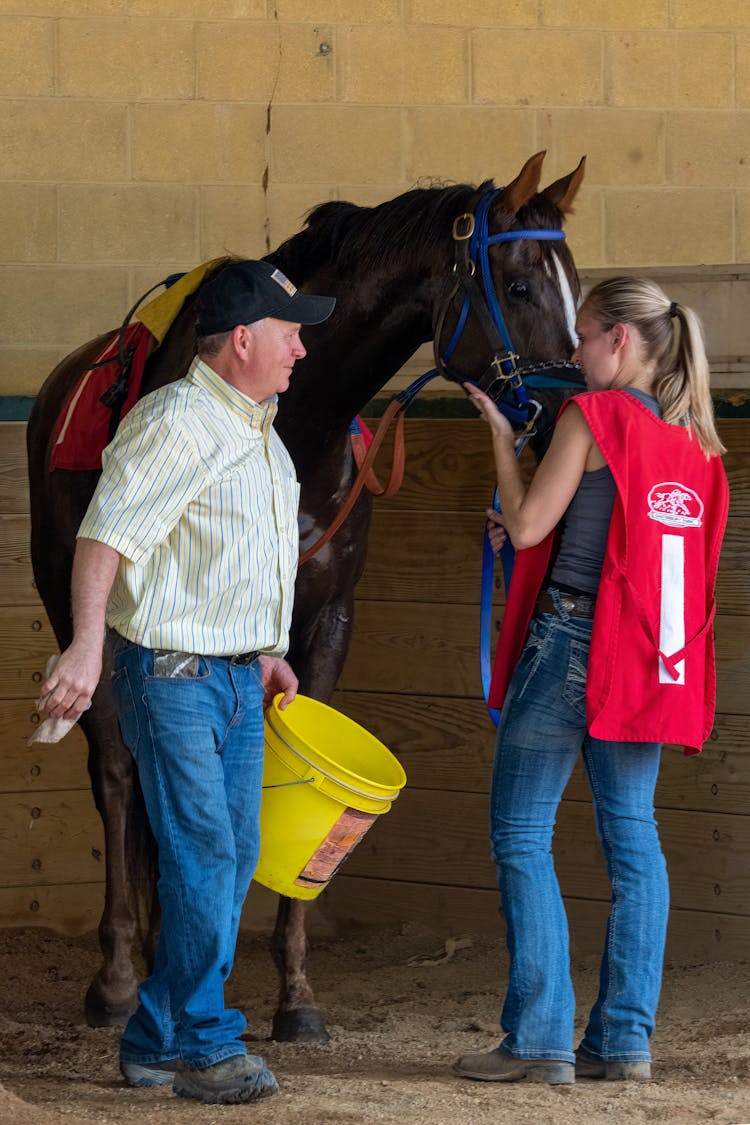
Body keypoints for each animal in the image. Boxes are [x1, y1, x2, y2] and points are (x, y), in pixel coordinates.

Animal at [24, 149, 584, 1044]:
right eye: (522, 285)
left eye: (580, 288)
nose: (571, 406)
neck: (299, 421)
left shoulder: (324, 624)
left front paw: (295, 992)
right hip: (85, 618)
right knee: (115, 771)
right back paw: (116, 975)